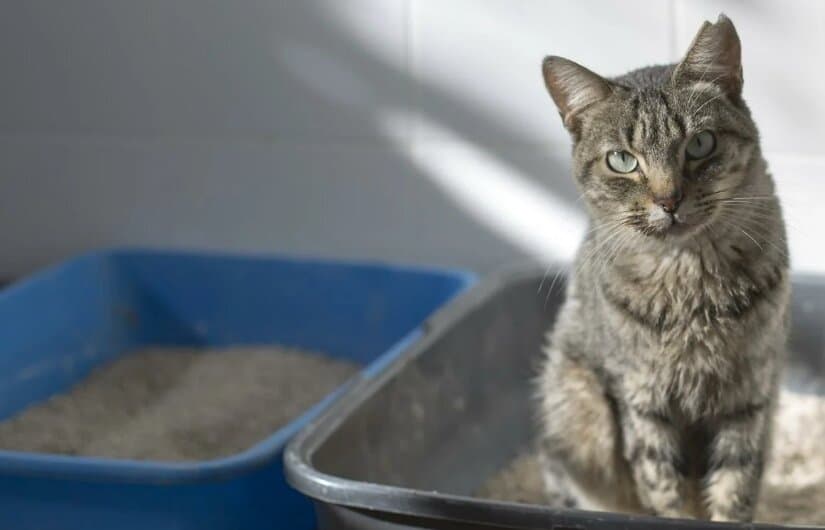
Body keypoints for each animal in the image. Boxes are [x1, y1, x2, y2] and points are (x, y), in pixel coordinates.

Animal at [536, 13, 788, 520]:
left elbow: (736, 484)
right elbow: (661, 486)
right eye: (622, 160)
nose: (668, 200)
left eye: (700, 143)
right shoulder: (643, 402)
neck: (690, 280)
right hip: (576, 408)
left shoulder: (749, 397)